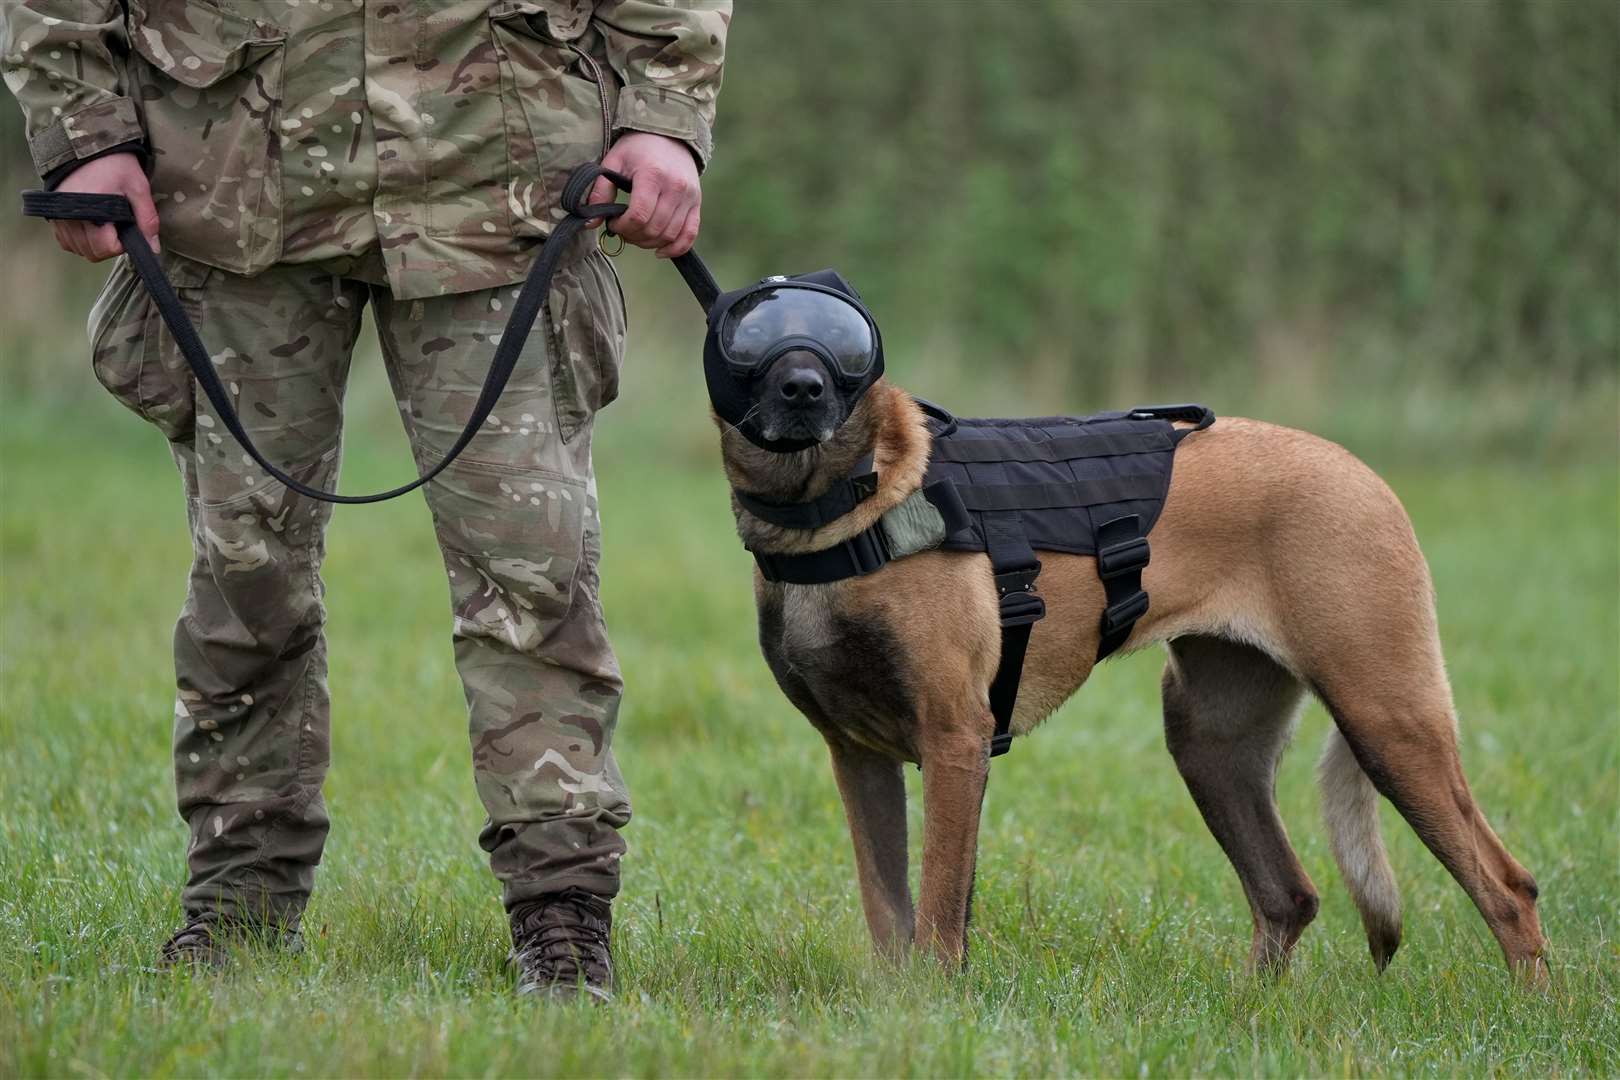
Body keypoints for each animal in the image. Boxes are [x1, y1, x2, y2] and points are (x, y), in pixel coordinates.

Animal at [719, 352, 1542, 977]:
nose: (804, 391)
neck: (847, 509)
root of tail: (1364, 475)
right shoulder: (860, 757)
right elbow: (889, 914)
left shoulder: (953, 741)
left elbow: (939, 919)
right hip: (1211, 744)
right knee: (1289, 894)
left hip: (1387, 720)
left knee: (1509, 889)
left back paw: (1531, 1016)